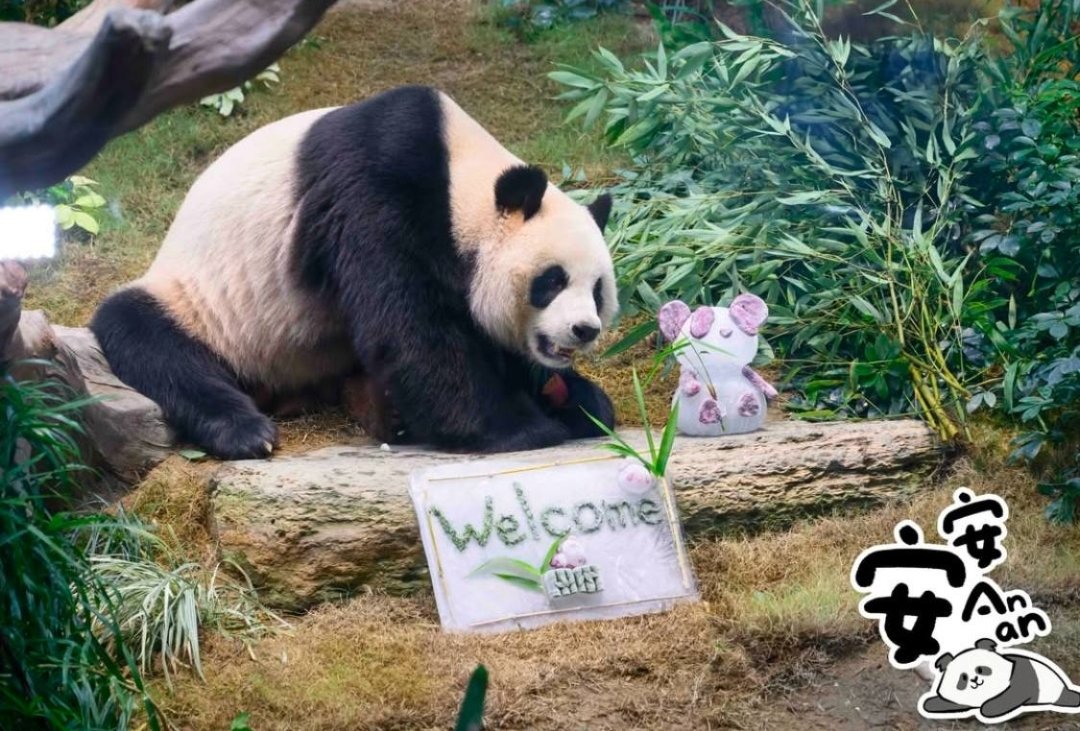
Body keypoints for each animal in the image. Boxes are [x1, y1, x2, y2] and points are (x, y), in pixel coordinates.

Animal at [90, 85, 618, 460]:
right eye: (552, 281)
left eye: (596, 290)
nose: (584, 329)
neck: (461, 180)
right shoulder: (377, 191)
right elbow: (410, 328)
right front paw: (520, 426)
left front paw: (581, 401)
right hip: (201, 303)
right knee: (149, 339)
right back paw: (248, 432)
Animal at [921, 638, 1080, 722]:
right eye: (963, 677)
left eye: (981, 669)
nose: (974, 680)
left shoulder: (1020, 676)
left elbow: (1011, 695)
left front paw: (988, 708)